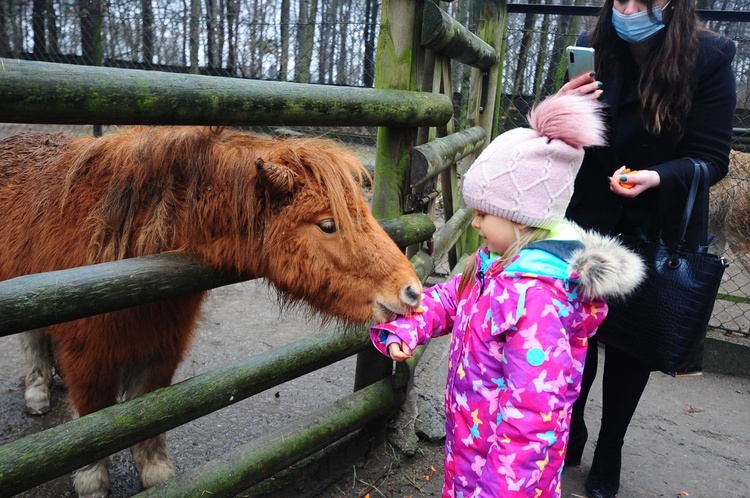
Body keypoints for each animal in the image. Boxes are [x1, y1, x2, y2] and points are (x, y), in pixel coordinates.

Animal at [0, 126, 424, 496]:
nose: (412, 290)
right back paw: (37, 390)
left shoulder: (162, 350)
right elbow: (91, 421)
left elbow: (149, 415)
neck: (126, 237)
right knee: (32, 339)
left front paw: (157, 475)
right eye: (327, 225)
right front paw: (91, 480)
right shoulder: (88, 357)